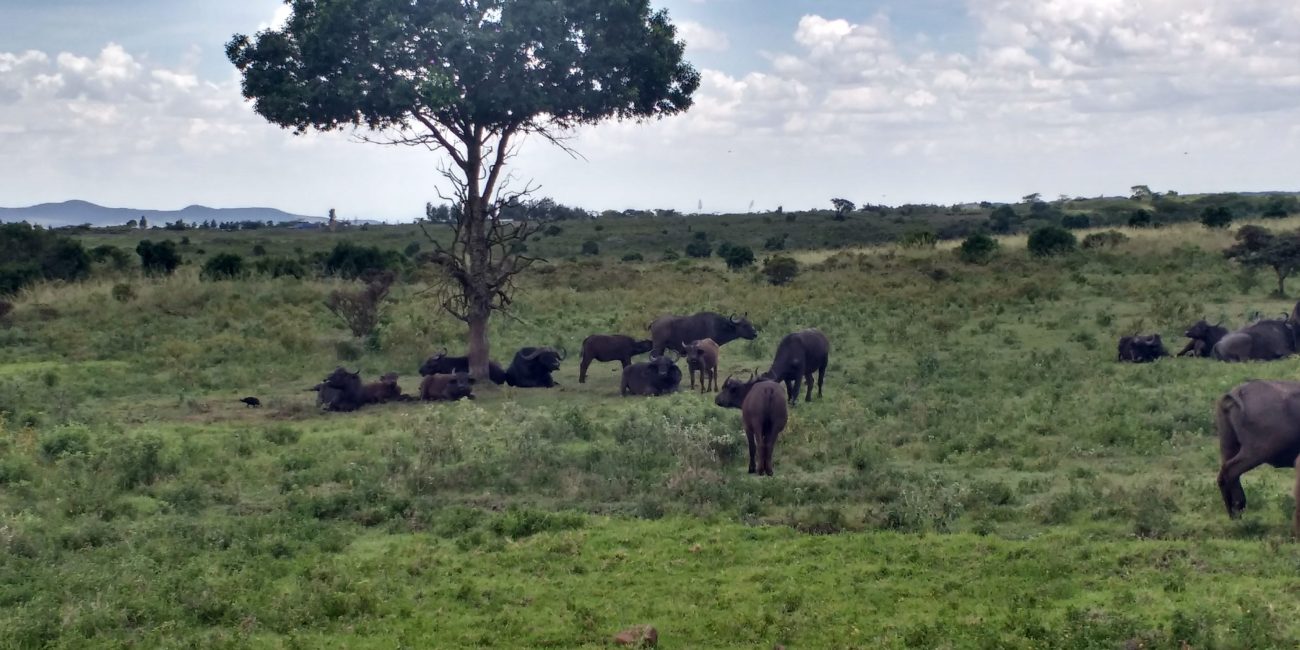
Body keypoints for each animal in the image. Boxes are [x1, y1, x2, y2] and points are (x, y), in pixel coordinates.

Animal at [1206, 379, 1300, 535]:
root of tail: (1237, 392)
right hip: (1255, 452)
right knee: (1230, 472)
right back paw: (1238, 513)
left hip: (1228, 446)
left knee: (1224, 476)